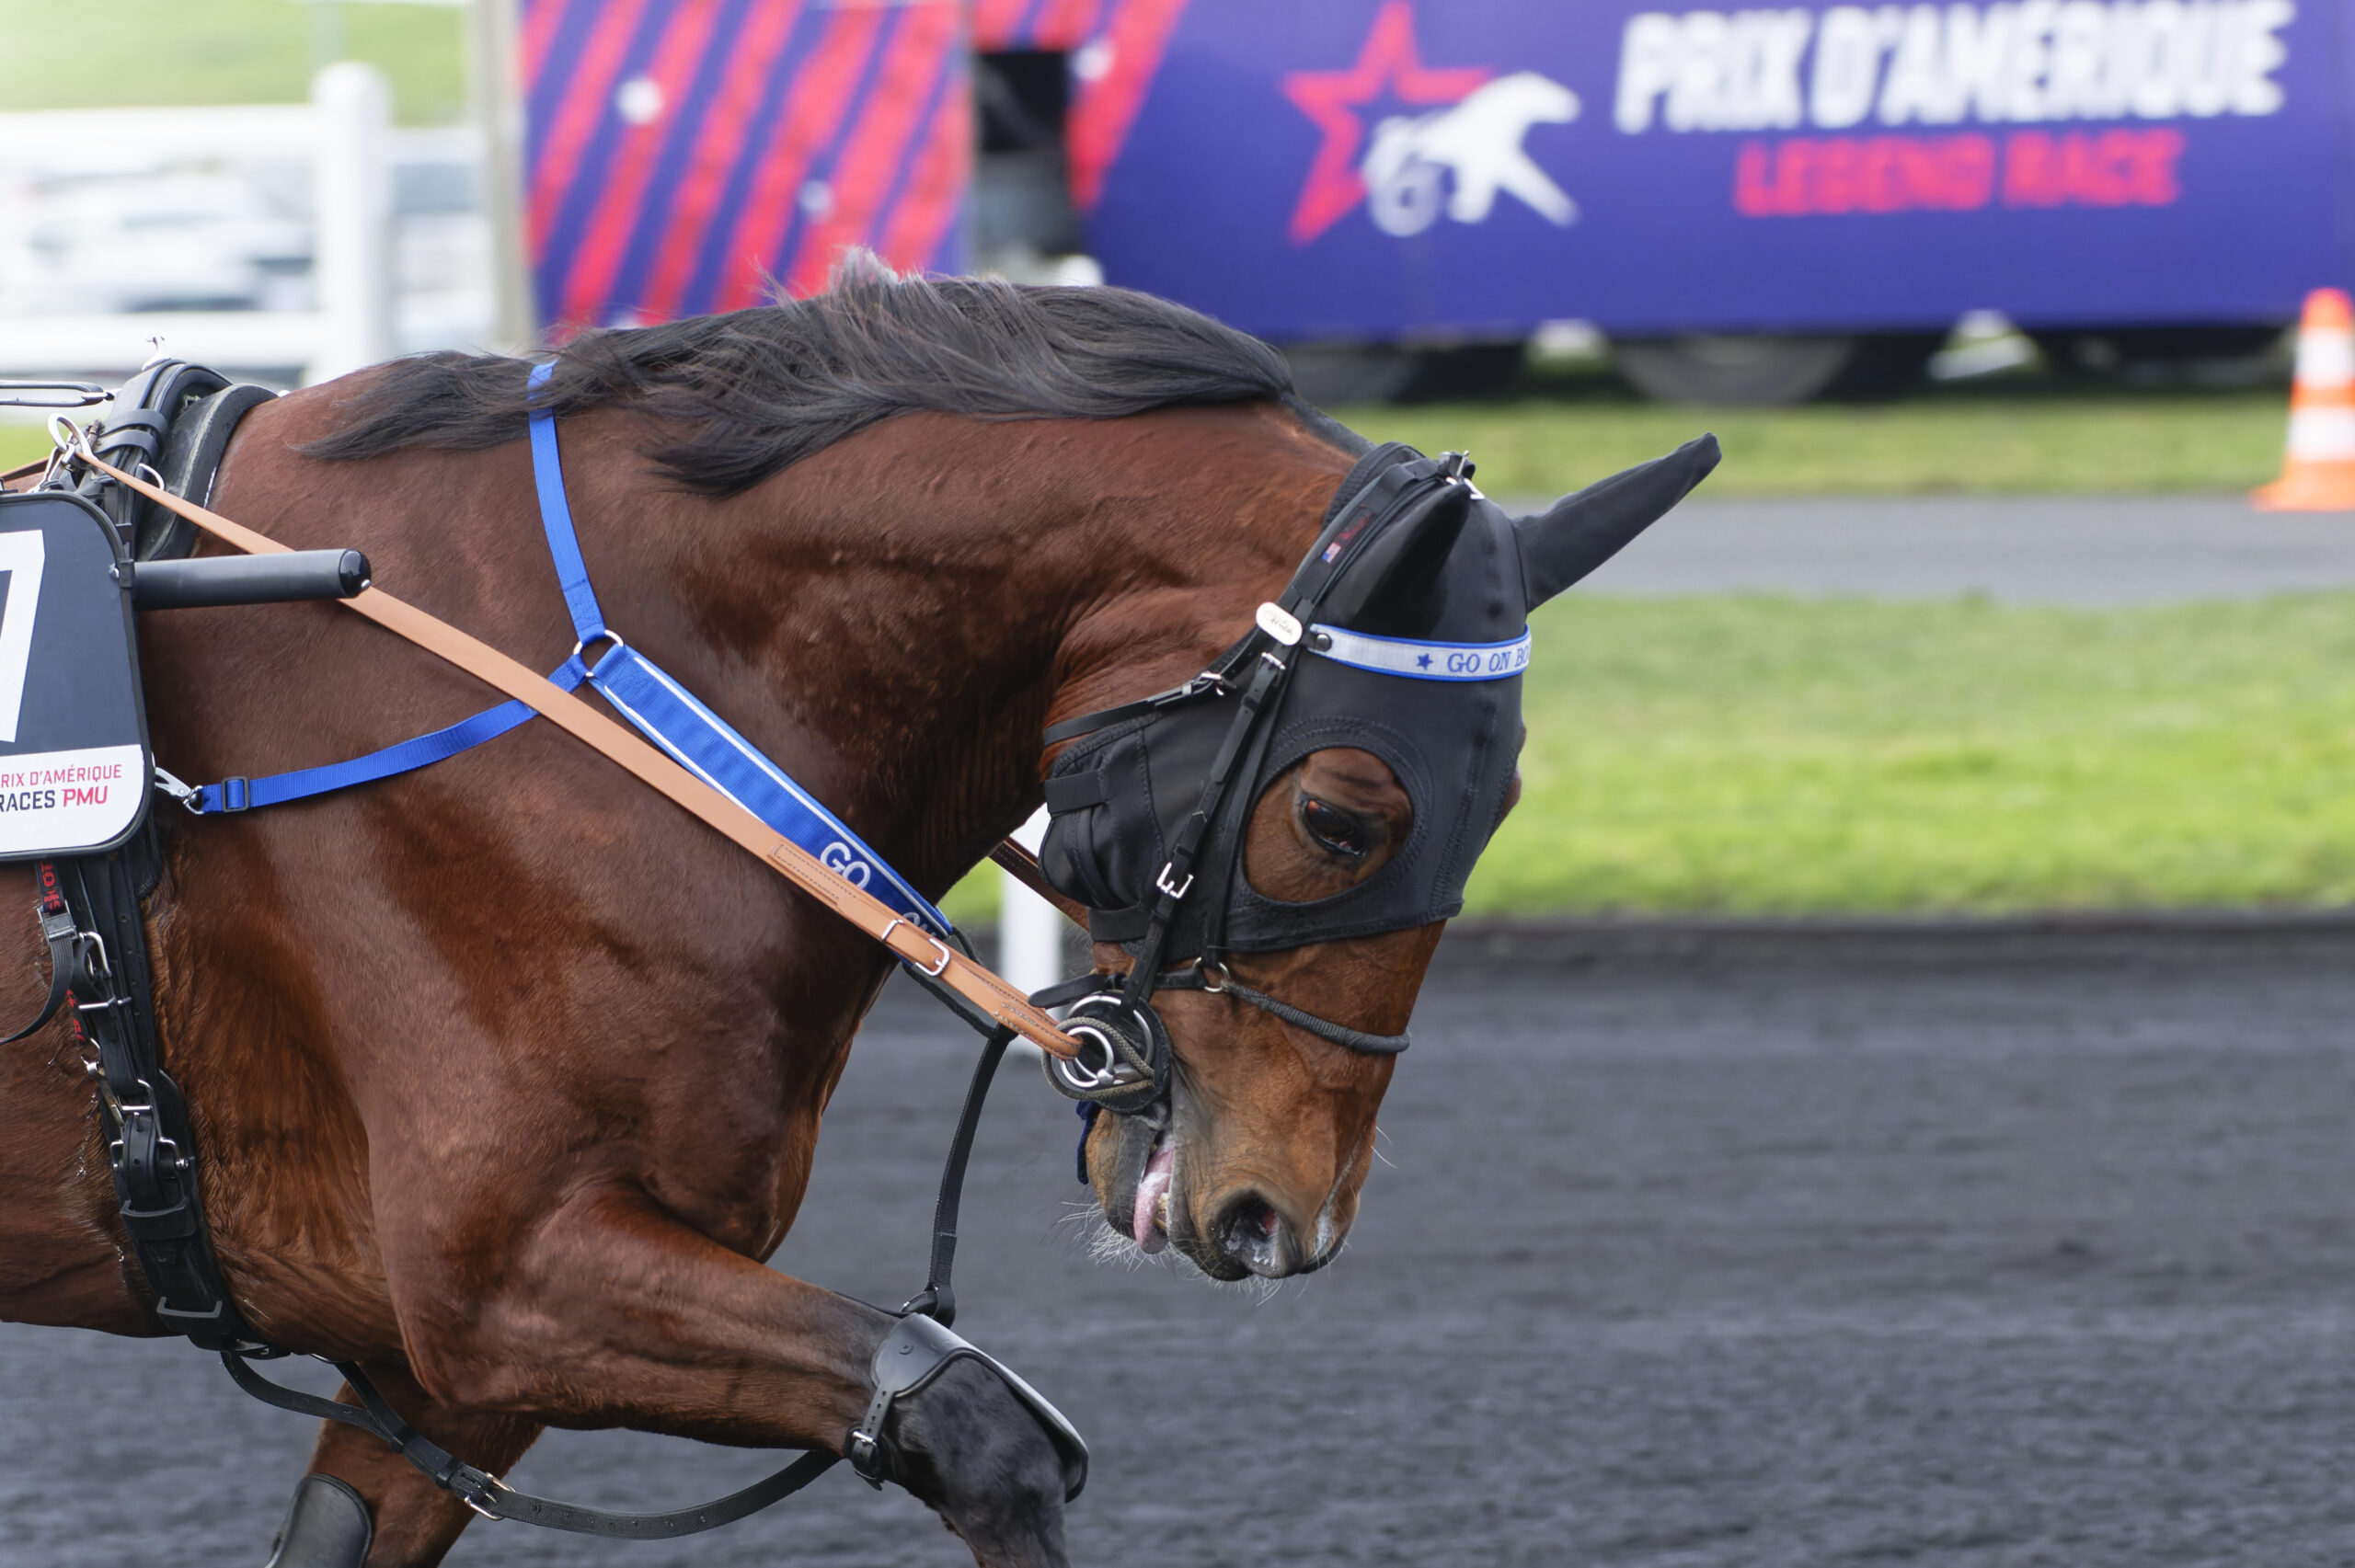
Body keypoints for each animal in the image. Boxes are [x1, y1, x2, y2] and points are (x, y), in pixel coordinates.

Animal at [0, 262, 1705, 1553]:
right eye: (1347, 815)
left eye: (1504, 804)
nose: (1282, 1216)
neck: (600, 686)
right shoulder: (506, 1276)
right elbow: (979, 1429)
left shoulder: (448, 1368)